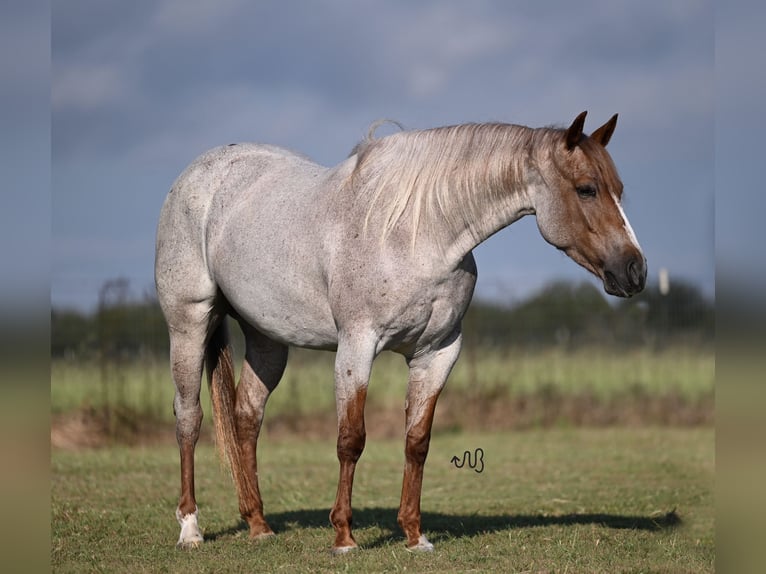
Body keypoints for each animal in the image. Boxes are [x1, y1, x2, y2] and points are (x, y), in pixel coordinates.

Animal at [156, 110, 648, 556]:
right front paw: (344, 537)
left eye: (619, 190)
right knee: (189, 418)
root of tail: (199, 173)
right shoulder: (357, 346)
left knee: (246, 417)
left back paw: (258, 525)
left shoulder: (437, 353)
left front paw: (414, 535)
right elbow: (351, 439)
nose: (634, 271)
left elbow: (417, 441)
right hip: (189, 323)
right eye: (586, 189)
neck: (419, 233)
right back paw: (191, 529)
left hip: (266, 338)